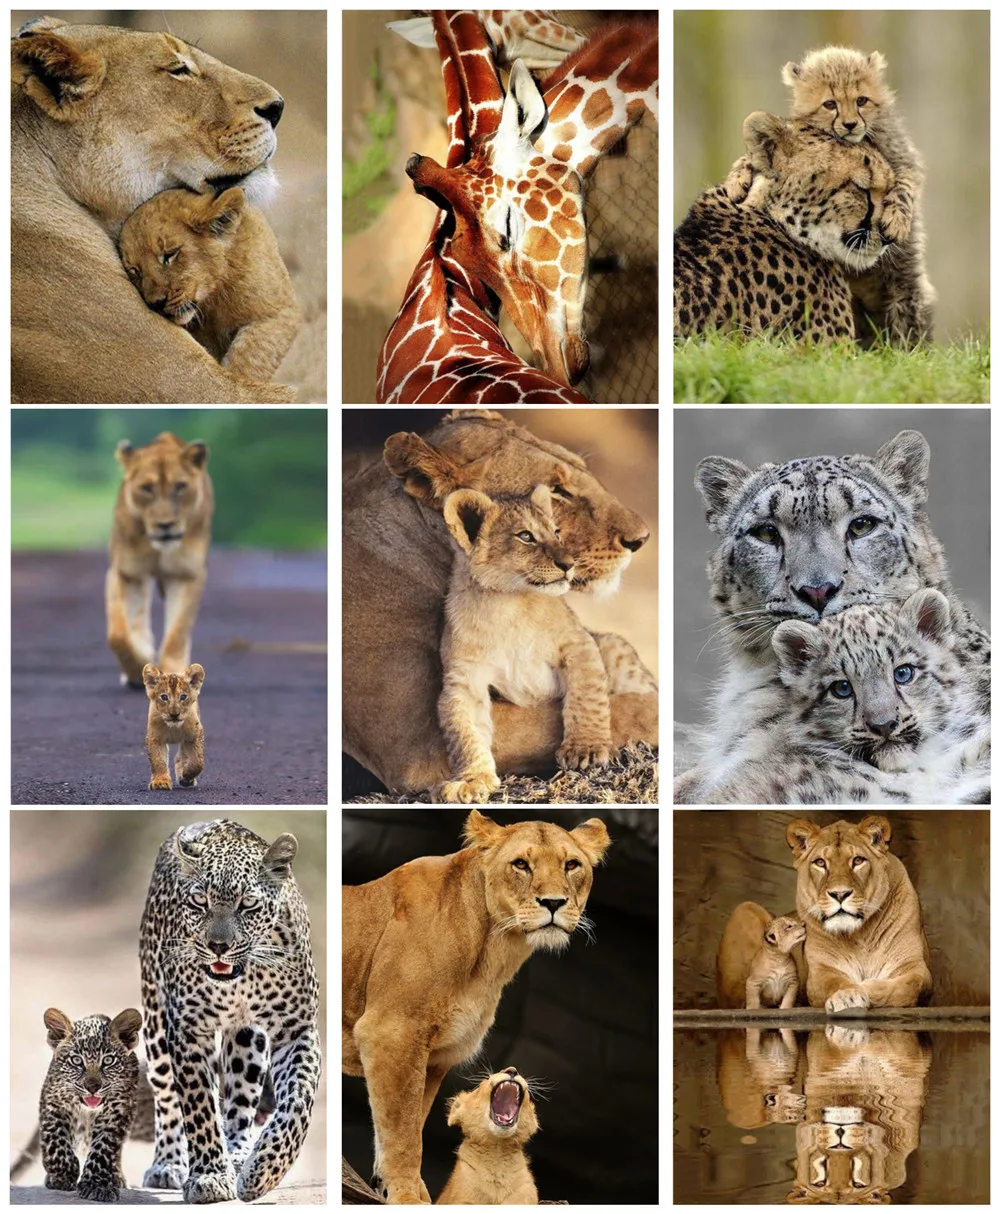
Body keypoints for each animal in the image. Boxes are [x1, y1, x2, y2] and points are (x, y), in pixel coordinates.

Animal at [106, 432, 213, 687]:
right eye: (147, 488)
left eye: (180, 486)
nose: (165, 525)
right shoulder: (126, 573)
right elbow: (118, 635)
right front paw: (136, 670)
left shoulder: (186, 575)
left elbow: (178, 632)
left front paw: (175, 673)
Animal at [118, 186, 301, 384]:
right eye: (134, 271)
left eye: (170, 254)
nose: (156, 303)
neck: (213, 299)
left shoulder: (280, 312)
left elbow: (250, 356)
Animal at [142, 662, 206, 790]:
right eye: (164, 697)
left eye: (183, 697)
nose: (174, 714)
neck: (174, 727)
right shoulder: (155, 738)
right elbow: (158, 761)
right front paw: (160, 781)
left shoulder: (195, 735)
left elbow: (197, 761)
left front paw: (187, 776)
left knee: (182, 757)